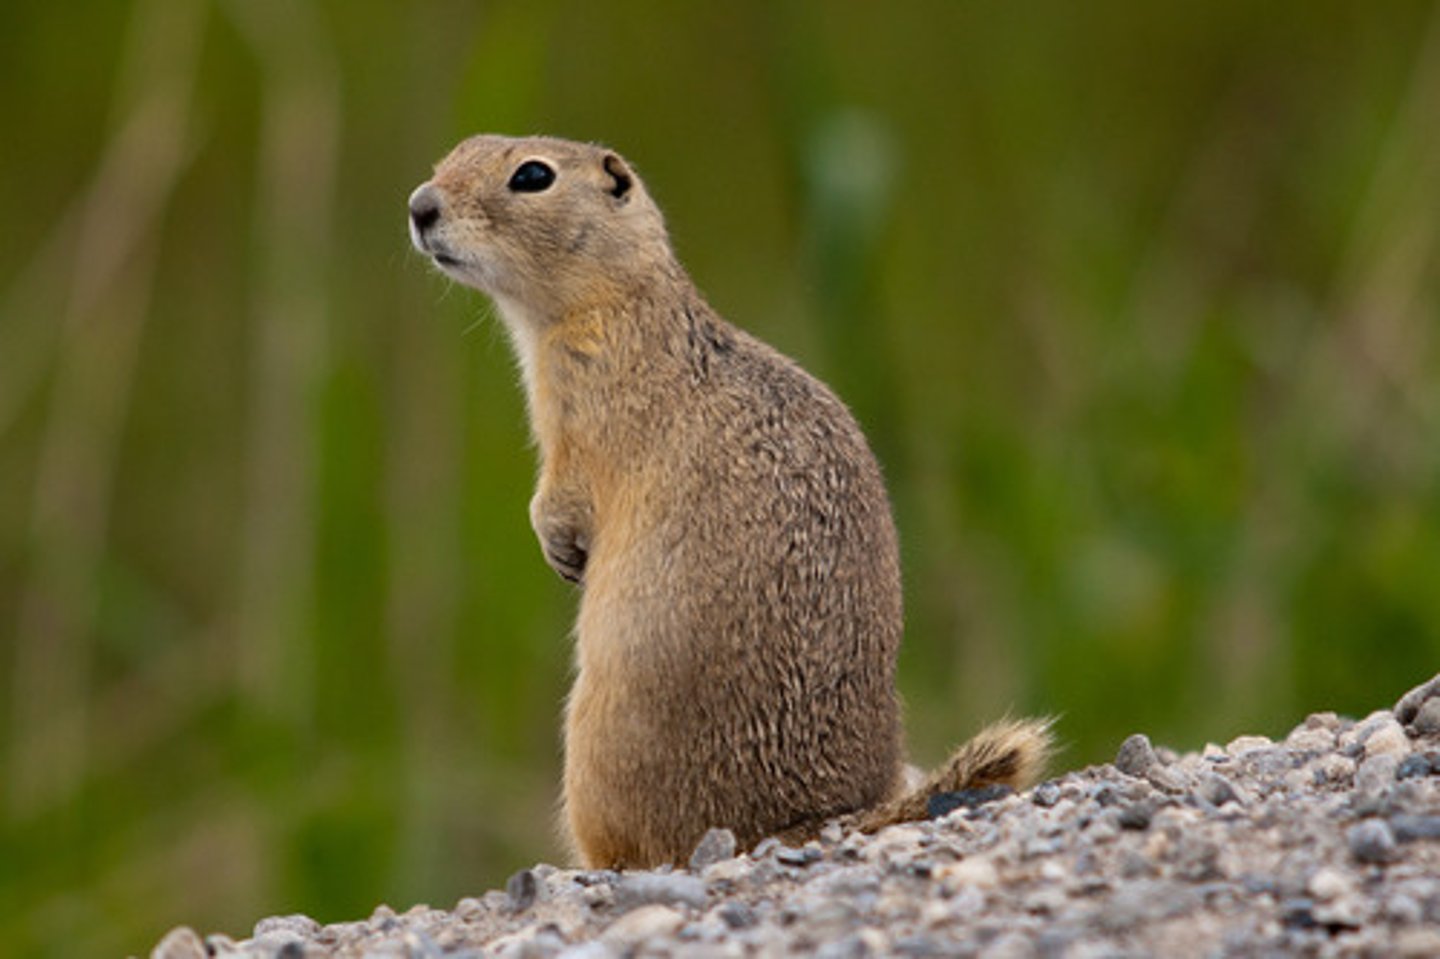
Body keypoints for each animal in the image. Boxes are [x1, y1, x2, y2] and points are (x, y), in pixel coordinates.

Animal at [408, 134, 1053, 870]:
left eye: (533, 175)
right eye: (456, 152)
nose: (420, 206)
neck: (620, 298)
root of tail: (804, 821)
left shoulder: (578, 405)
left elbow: (564, 486)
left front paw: (557, 542)